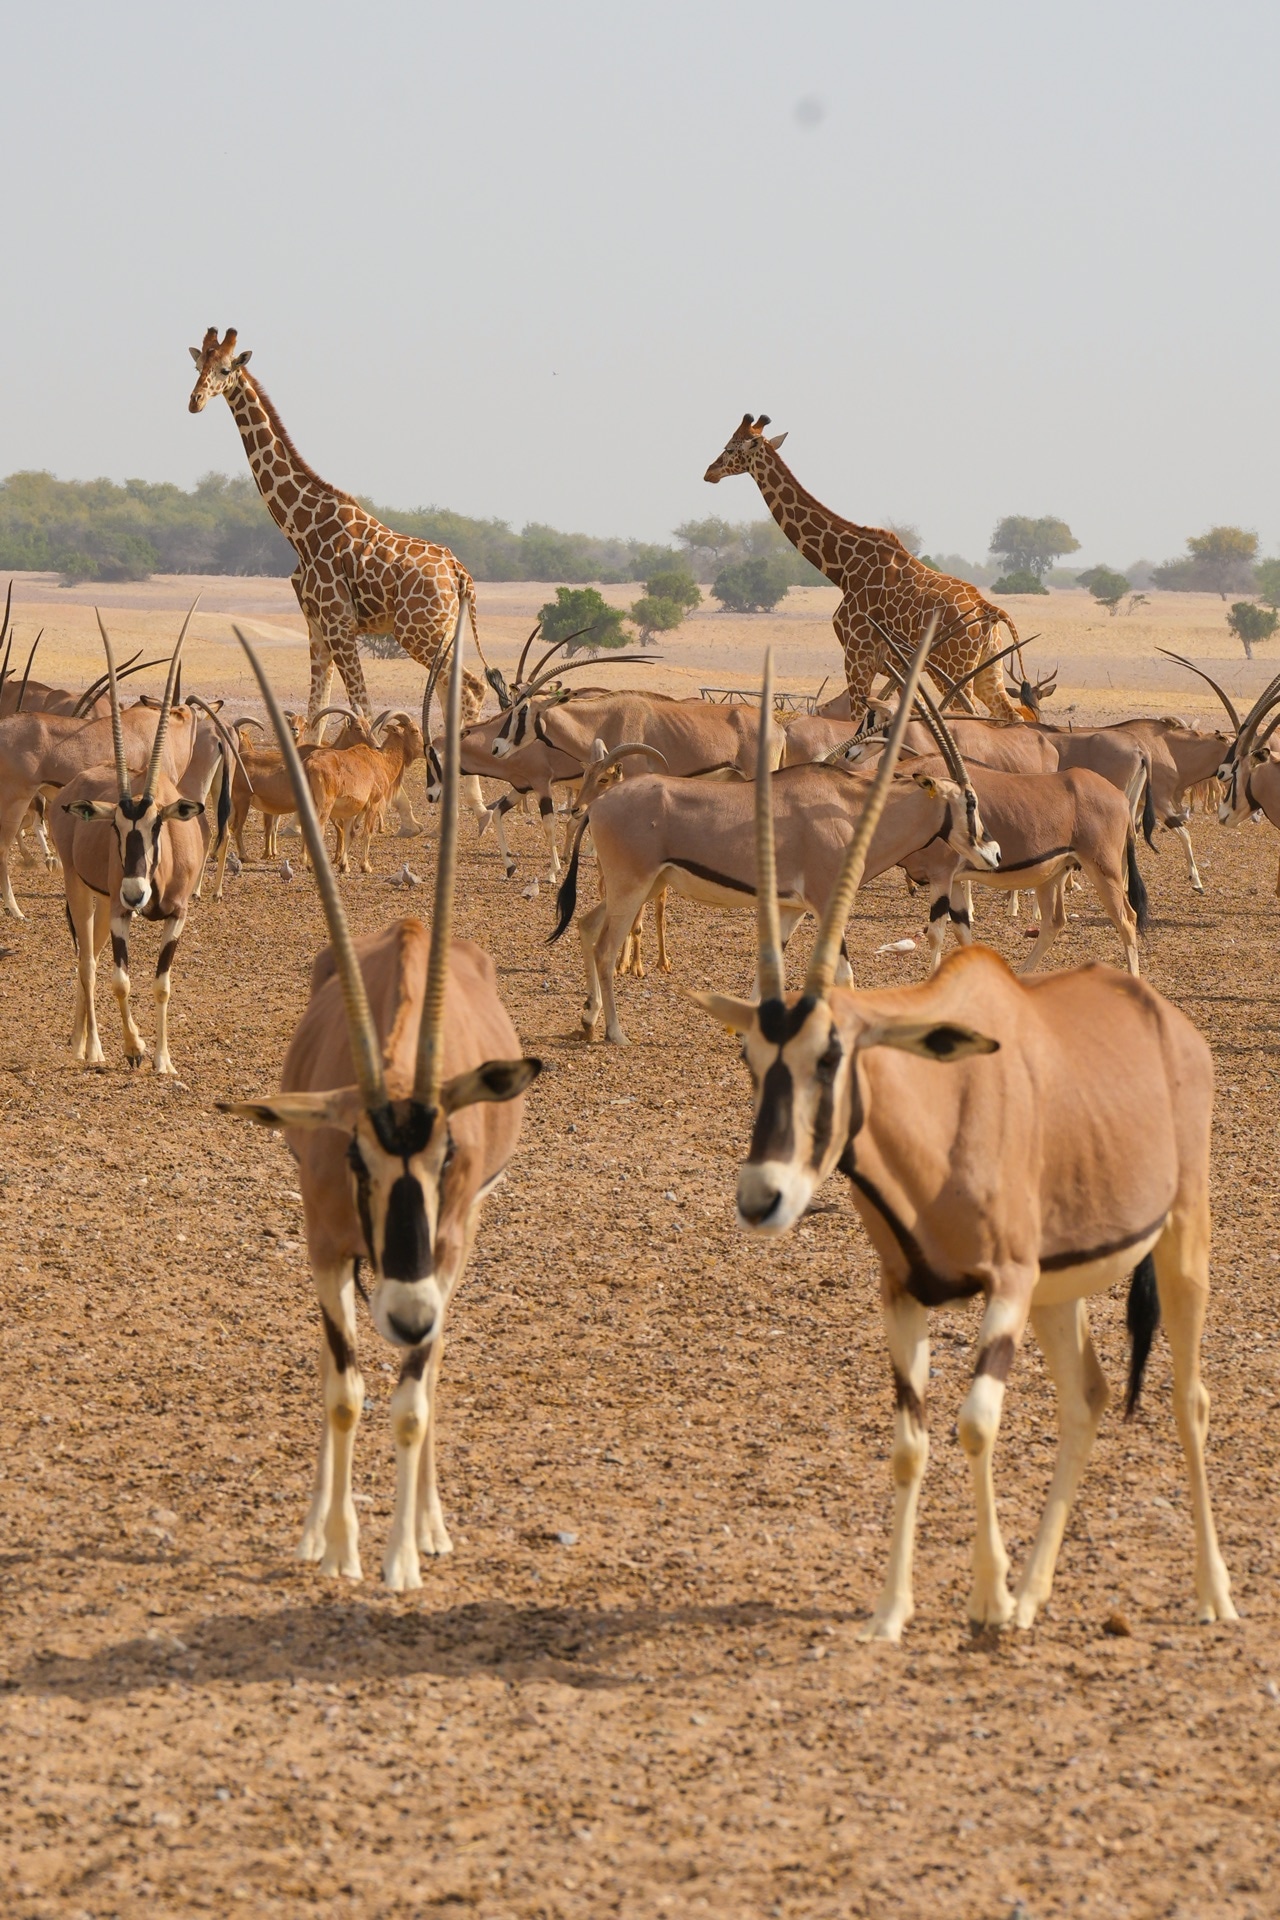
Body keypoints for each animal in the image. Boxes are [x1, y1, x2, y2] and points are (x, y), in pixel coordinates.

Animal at [53, 631, 205, 1075]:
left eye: (158, 825)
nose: (136, 893)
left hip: (106, 902)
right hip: (81, 889)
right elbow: (122, 981)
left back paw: (80, 1042)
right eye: (115, 828)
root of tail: (72, 788)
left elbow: (161, 985)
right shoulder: (122, 914)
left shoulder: (177, 915)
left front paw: (163, 1060)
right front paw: (135, 1048)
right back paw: (91, 1050)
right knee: (87, 963)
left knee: (92, 957)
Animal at [188, 328, 490, 733]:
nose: (195, 401)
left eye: (223, 368)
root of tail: (460, 574)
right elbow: (317, 714)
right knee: (455, 692)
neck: (300, 530)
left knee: (471, 688)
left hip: (420, 632)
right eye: (196, 366)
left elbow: (363, 711)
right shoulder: (316, 627)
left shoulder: (339, 624)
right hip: (440, 631)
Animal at [218, 617, 540, 1591]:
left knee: (426, 1374)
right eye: (355, 1155)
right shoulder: (327, 1245)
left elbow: (410, 1396)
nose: (406, 1311)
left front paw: (403, 1555)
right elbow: (344, 1387)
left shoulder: (445, 1249)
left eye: (450, 1157)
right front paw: (336, 1543)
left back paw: (429, 1524)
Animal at [692, 640, 1236, 1641]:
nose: (764, 1194)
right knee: (1088, 1399)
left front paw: (983, 1595)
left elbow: (977, 1421)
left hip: (1177, 1241)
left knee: (1188, 1397)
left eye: (838, 1053)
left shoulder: (1006, 1285)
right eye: (752, 1055)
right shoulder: (905, 1294)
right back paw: (1037, 1591)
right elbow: (911, 1438)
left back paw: (1212, 1594)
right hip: (1063, 1286)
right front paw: (896, 1609)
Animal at [704, 413, 1026, 724]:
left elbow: (857, 718)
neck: (843, 567)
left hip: (952, 669)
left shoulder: (857, 654)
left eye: (730, 447)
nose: (709, 472)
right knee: (1012, 717)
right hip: (988, 670)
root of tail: (987, 609)